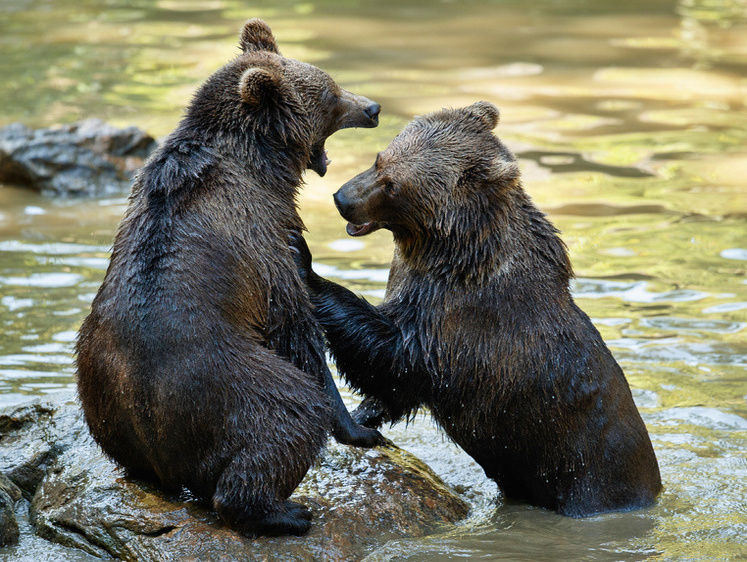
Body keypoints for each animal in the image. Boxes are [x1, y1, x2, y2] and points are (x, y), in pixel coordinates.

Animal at [77, 16, 386, 532]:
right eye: (330, 92)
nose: (373, 107)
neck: (263, 163)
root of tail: (160, 449)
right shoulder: (261, 235)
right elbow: (296, 327)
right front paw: (360, 428)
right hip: (228, 383)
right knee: (287, 414)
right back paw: (285, 511)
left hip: (98, 388)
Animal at [290, 101, 664, 516]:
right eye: (379, 158)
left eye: (393, 184)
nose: (342, 199)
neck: (449, 251)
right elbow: (393, 386)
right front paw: (363, 416)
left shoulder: (461, 317)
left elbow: (397, 356)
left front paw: (305, 260)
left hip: (589, 473)